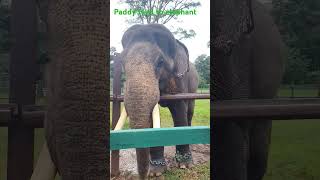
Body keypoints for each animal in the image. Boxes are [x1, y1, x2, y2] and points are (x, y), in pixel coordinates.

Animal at [119, 23, 199, 179]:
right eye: (122, 63)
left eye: (160, 62)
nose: (144, 176)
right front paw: (156, 172)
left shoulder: (179, 81)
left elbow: (179, 110)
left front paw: (184, 165)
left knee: (189, 111)